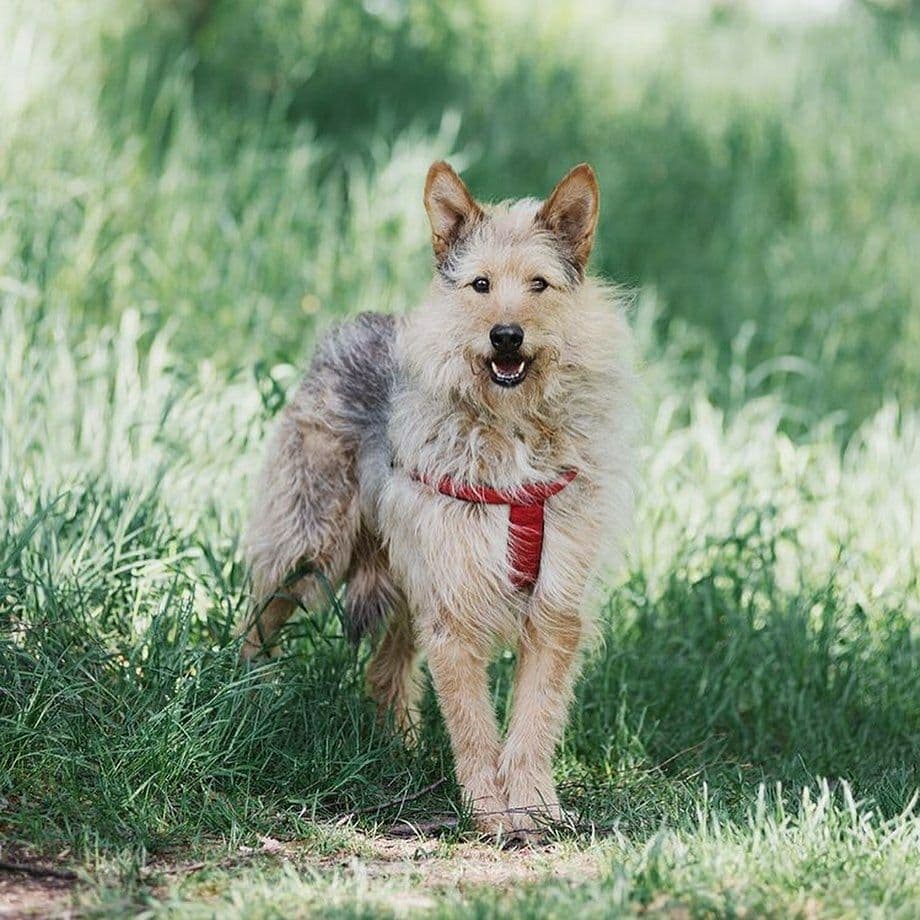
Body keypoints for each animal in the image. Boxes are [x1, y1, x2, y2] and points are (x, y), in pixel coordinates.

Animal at [241, 162, 636, 836]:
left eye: (539, 284)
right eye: (480, 285)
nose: (506, 336)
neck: (512, 432)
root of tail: (355, 326)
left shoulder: (554, 608)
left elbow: (533, 720)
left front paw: (533, 806)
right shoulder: (451, 607)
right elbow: (474, 726)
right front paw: (491, 814)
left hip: (404, 578)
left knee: (384, 670)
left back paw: (396, 752)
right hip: (308, 551)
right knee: (255, 622)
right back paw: (232, 695)